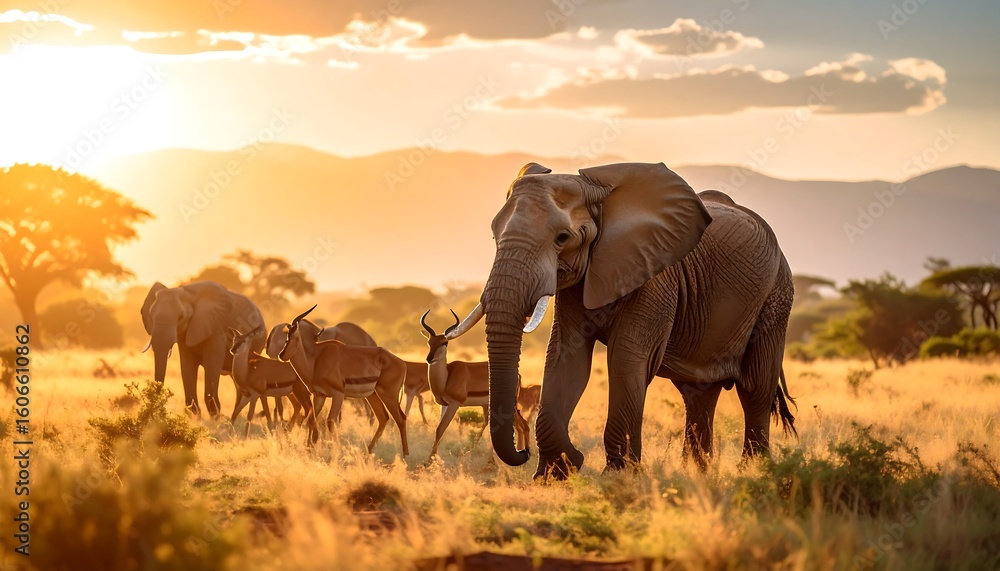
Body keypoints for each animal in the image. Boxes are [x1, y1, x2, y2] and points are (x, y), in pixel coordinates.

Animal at [141, 280, 265, 416]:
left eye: (181, 317)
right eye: (151, 316)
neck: (187, 293)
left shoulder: (216, 328)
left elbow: (212, 366)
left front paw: (215, 417)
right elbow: (187, 366)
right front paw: (197, 416)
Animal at [446, 162, 796, 479]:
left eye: (562, 238)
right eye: (495, 236)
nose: (522, 453)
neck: (597, 193)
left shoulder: (655, 273)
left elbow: (626, 357)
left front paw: (618, 476)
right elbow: (565, 356)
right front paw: (556, 472)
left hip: (776, 296)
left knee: (755, 388)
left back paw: (755, 472)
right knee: (698, 394)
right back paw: (697, 474)